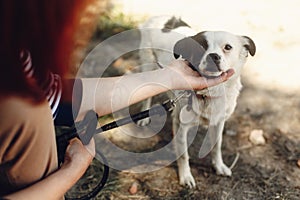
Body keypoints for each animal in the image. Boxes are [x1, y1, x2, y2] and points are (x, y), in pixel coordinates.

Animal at [138, 15, 255, 188]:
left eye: (227, 47)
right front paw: (186, 176)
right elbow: (183, 155)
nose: (213, 56)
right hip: (149, 68)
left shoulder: (219, 121)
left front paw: (219, 166)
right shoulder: (181, 126)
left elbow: (217, 145)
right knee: (146, 94)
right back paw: (144, 118)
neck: (208, 93)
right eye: (200, 46)